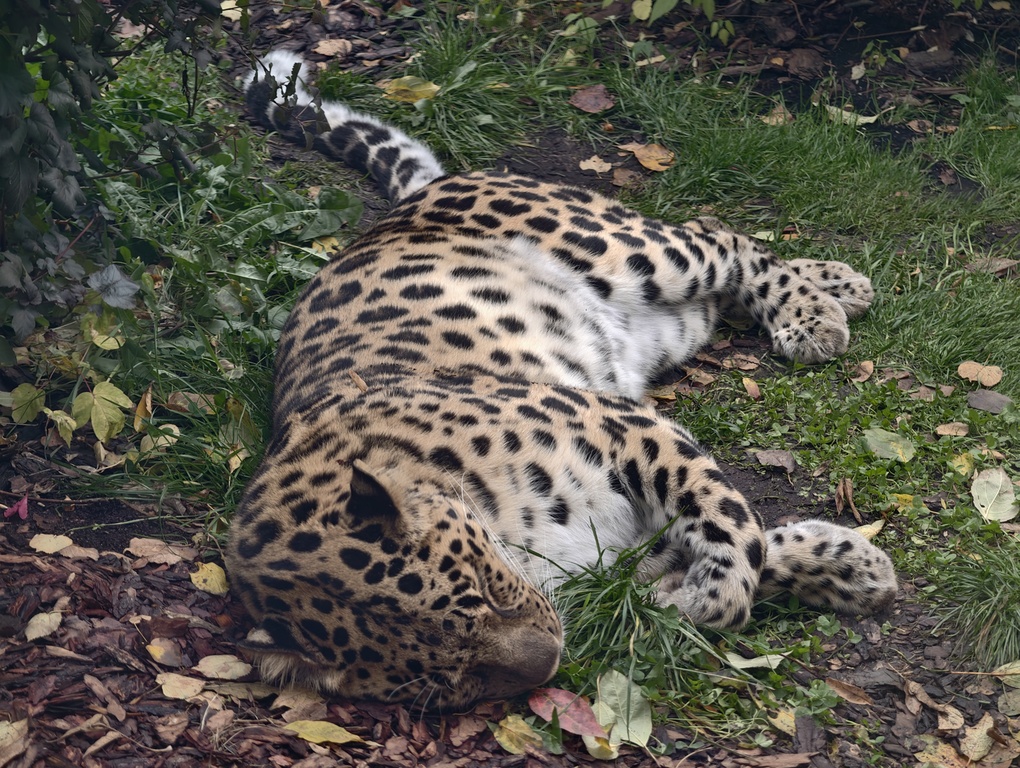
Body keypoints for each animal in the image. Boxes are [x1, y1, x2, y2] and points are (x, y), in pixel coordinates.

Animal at [226, 50, 897, 711]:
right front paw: (847, 567)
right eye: (442, 684)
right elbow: (729, 547)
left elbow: (732, 524)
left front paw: (726, 595)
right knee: (722, 283)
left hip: (630, 250)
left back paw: (819, 308)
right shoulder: (613, 551)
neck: (514, 534)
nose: (548, 661)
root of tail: (410, 203)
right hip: (669, 322)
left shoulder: (625, 425)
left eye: (484, 586)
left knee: (724, 240)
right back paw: (838, 284)